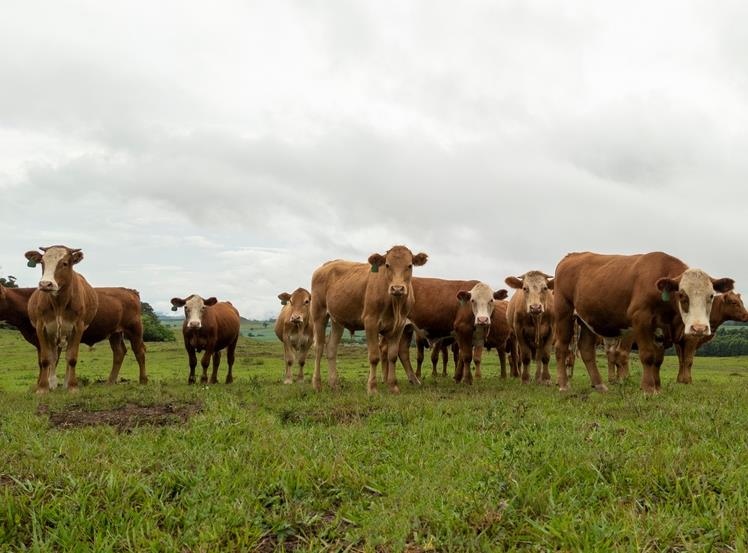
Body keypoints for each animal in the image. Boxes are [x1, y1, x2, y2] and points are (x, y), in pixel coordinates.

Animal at [0, 284, 149, 384]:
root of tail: (128, 290)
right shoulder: (40, 342)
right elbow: (43, 362)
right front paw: (40, 384)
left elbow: (52, 361)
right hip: (115, 333)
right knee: (119, 352)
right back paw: (110, 382)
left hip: (134, 329)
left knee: (139, 351)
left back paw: (143, 380)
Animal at [24, 246, 99, 392]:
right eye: (42, 262)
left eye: (64, 263)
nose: (45, 284)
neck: (59, 303)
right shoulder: (42, 327)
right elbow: (46, 359)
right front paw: (43, 388)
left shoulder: (78, 327)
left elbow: (71, 358)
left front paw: (72, 387)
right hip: (53, 334)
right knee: (54, 356)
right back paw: (52, 383)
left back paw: (65, 383)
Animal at [310, 245, 426, 392]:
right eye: (387, 265)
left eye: (409, 265)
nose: (397, 288)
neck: (394, 304)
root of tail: (326, 265)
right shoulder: (370, 322)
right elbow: (374, 357)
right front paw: (372, 388)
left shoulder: (399, 325)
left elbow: (393, 356)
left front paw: (393, 387)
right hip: (319, 314)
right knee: (319, 348)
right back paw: (317, 384)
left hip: (337, 320)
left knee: (331, 347)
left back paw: (334, 384)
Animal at [552, 250, 732, 392]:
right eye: (682, 295)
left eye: (711, 296)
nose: (699, 328)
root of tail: (572, 256)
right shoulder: (641, 319)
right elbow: (648, 356)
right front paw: (648, 388)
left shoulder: (662, 329)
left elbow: (658, 360)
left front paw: (657, 386)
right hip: (564, 313)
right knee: (561, 347)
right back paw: (564, 385)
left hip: (588, 320)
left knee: (587, 350)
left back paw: (599, 385)